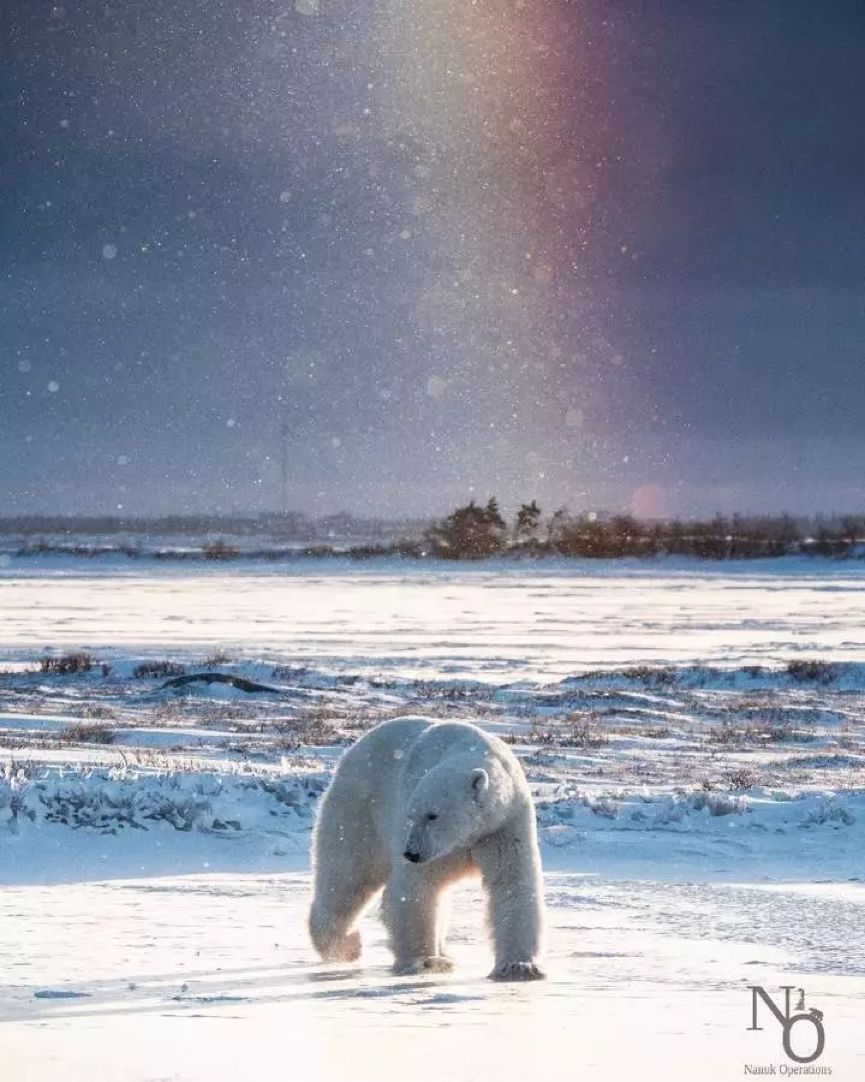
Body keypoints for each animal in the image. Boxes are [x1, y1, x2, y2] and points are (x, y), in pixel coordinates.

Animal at [307, 718, 545, 982]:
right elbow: (416, 887)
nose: (411, 853)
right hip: (359, 810)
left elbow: (512, 883)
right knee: (349, 876)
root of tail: (352, 750)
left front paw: (518, 966)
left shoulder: (503, 826)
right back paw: (343, 945)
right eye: (412, 816)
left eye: (433, 815)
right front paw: (427, 961)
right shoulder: (431, 844)